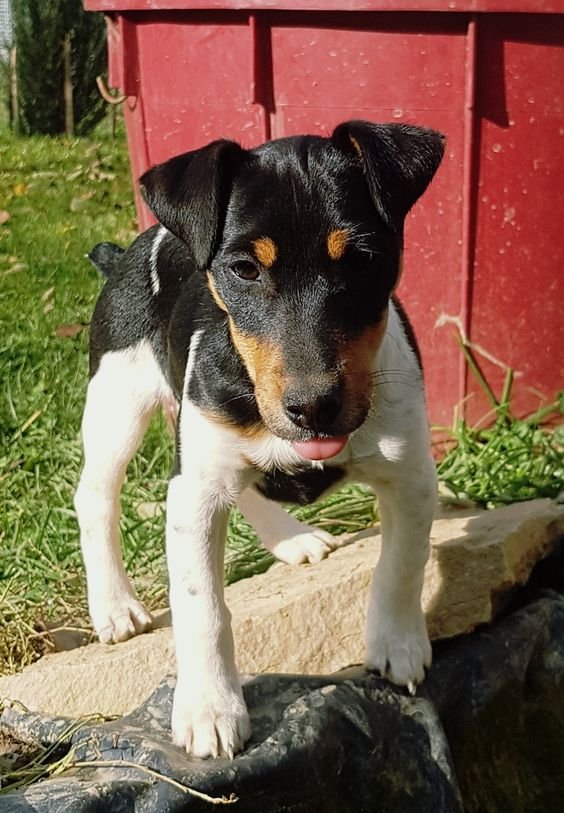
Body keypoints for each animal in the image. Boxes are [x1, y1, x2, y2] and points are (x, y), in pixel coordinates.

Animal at [75, 122, 446, 760]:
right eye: (244, 269)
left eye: (363, 259)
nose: (314, 407)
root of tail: (127, 251)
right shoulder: (193, 494)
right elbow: (202, 606)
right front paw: (209, 709)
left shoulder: (412, 476)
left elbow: (403, 562)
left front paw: (397, 646)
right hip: (117, 405)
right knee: (95, 496)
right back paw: (115, 606)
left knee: (248, 488)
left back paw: (293, 539)